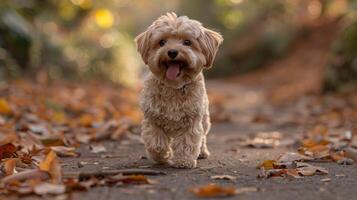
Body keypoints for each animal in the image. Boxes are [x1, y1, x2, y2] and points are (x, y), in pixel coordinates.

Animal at [135, 12, 221, 169]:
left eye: (187, 42)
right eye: (162, 42)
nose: (172, 52)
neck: (174, 86)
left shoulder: (191, 121)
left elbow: (187, 142)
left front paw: (184, 161)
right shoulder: (152, 118)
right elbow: (156, 142)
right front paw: (162, 157)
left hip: (205, 119)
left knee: (203, 137)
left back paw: (202, 152)